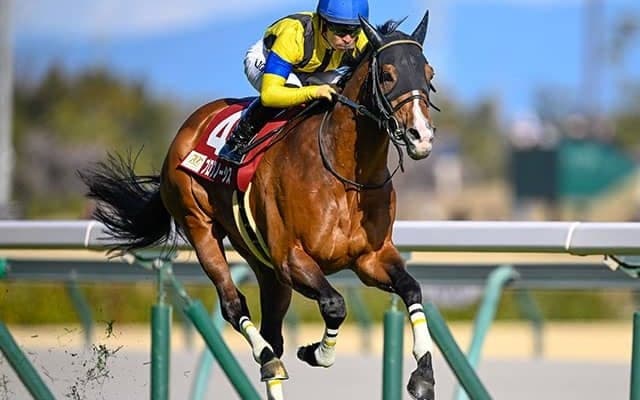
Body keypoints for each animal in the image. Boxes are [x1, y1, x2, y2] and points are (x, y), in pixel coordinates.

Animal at [82, 11, 438, 400]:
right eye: (387, 75)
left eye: (429, 73)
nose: (421, 135)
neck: (343, 174)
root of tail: (189, 126)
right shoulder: (291, 259)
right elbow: (334, 305)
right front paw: (315, 352)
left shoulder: (369, 258)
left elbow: (411, 289)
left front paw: (423, 373)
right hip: (200, 225)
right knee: (234, 305)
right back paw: (266, 357)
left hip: (262, 263)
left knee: (273, 333)